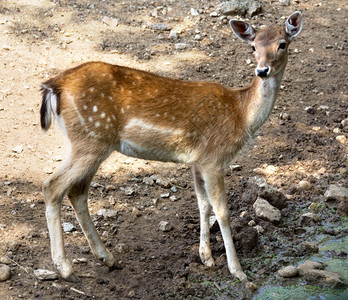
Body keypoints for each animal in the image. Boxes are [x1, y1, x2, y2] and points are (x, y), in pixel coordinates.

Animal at [40, 11, 302, 286]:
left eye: (282, 44)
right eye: (253, 47)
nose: (262, 70)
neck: (240, 115)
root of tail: (53, 86)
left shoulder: (198, 161)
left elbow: (203, 204)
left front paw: (206, 257)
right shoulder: (214, 157)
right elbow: (222, 211)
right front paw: (238, 271)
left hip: (90, 143)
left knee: (77, 191)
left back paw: (107, 258)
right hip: (90, 140)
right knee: (53, 186)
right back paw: (65, 268)